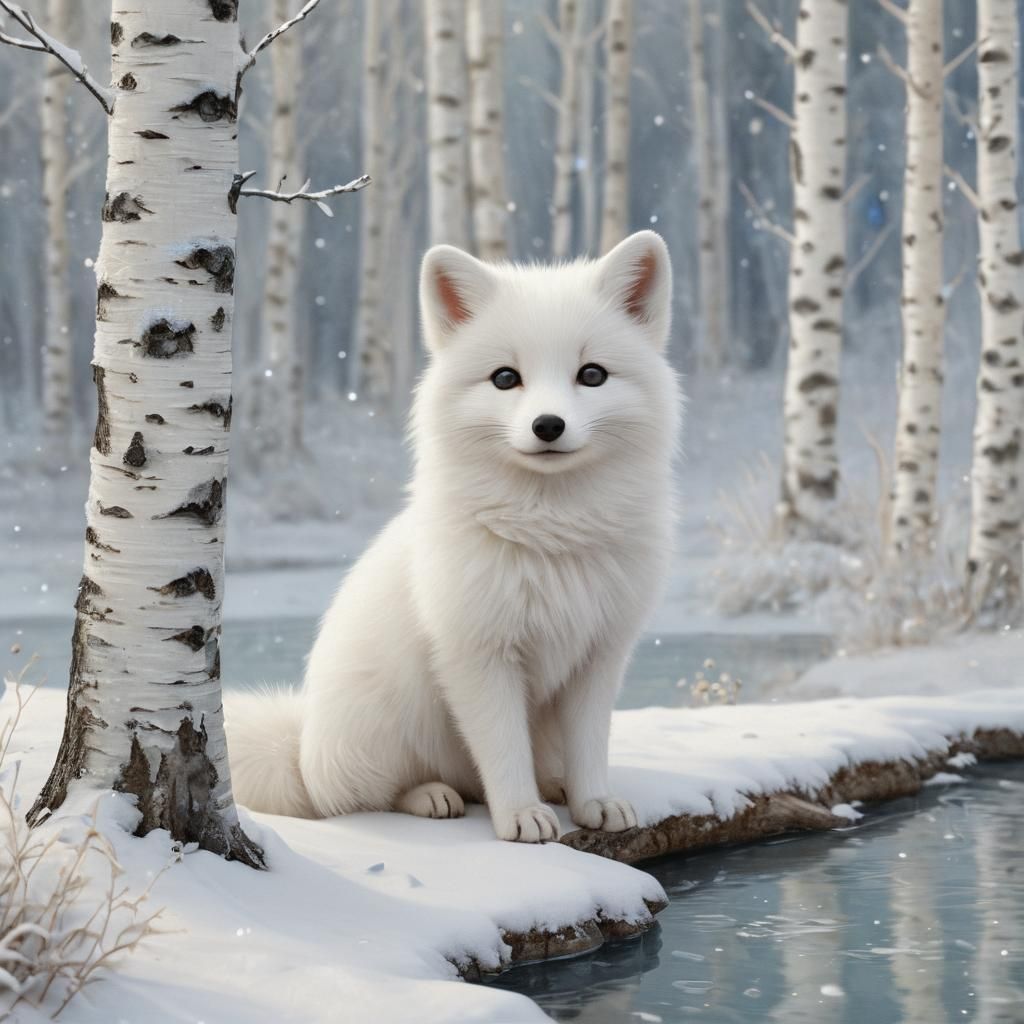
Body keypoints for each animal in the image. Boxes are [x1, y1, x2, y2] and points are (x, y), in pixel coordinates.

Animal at [226, 230, 681, 842]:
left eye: (592, 375)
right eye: (505, 377)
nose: (548, 426)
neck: (552, 533)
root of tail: (300, 751)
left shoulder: (600, 654)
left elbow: (591, 746)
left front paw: (594, 803)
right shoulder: (480, 656)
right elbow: (504, 749)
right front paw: (520, 816)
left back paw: (553, 786)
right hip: (378, 732)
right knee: (358, 799)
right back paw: (431, 796)